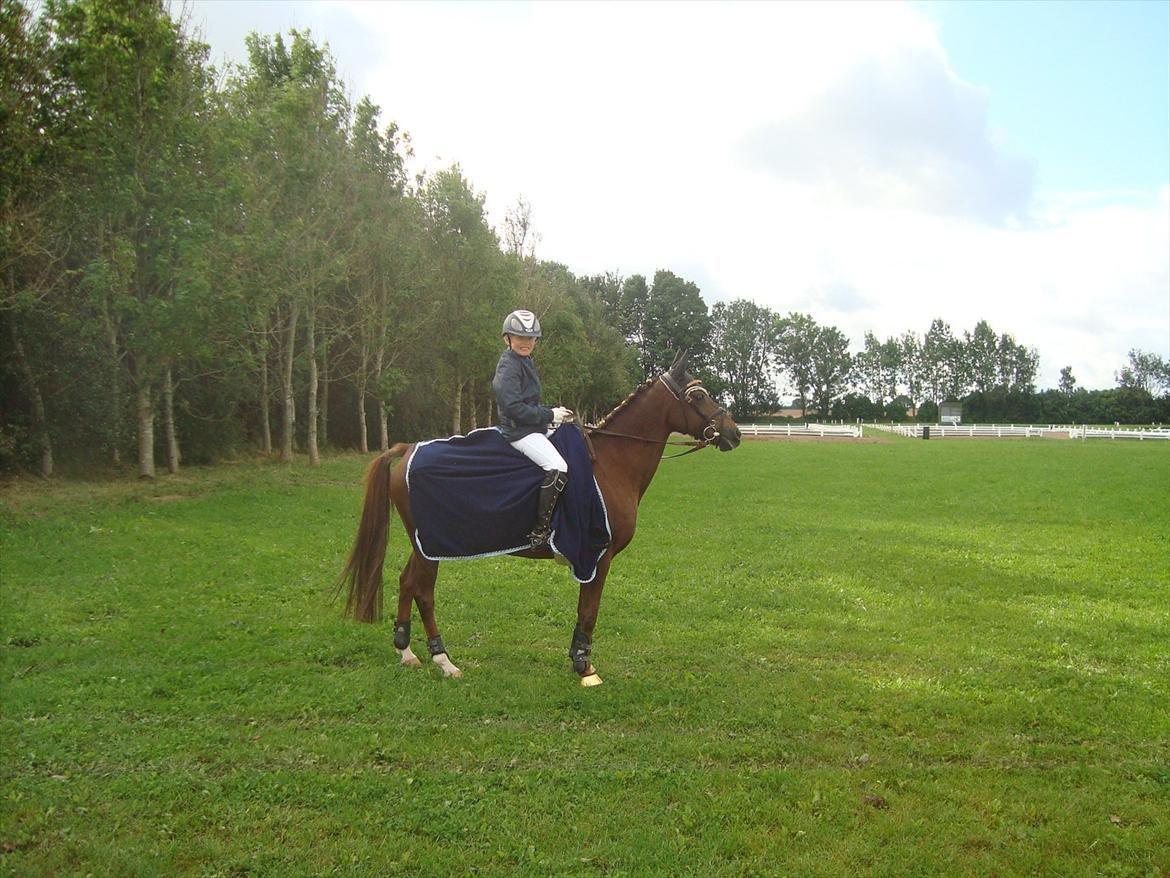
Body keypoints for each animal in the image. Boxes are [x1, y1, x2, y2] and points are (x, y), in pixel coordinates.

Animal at [336, 351, 742, 686]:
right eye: (697, 396)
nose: (734, 433)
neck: (612, 462)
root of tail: (407, 449)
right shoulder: (597, 555)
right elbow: (589, 610)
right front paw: (585, 668)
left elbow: (586, 609)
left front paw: (579, 662)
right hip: (430, 545)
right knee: (422, 589)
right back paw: (442, 660)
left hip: (424, 543)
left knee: (408, 583)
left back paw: (410, 652)